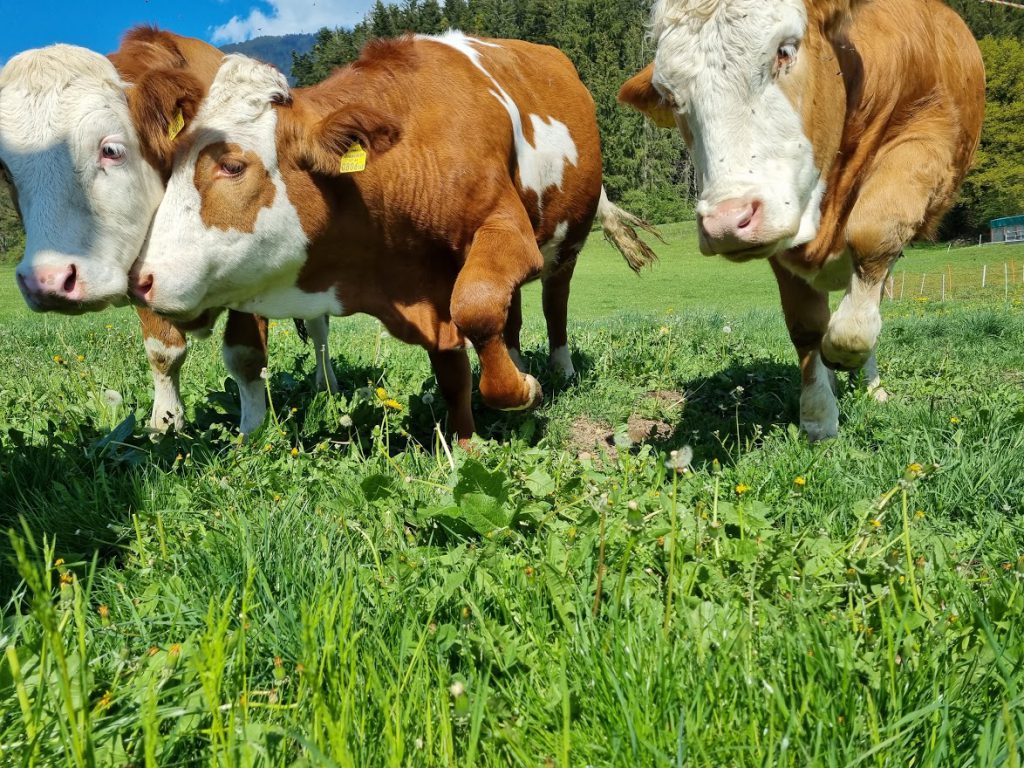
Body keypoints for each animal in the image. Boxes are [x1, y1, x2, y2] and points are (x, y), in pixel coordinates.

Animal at [0, 28, 337, 438]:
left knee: (319, 330)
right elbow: (164, 353)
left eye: (111, 149)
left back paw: (328, 386)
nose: (47, 281)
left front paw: (253, 430)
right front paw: (165, 424)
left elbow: (246, 357)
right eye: (6, 170)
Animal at [130, 33, 655, 442]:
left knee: (553, 301)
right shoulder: (427, 282)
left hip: (567, 242)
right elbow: (454, 367)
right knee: (514, 311)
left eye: (233, 166)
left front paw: (522, 391)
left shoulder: (506, 233)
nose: (141, 280)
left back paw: (560, 368)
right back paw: (516, 357)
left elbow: (476, 307)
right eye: (169, 166)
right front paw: (466, 442)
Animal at [614, 0, 983, 442]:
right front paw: (818, 415)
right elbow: (805, 326)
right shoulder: (782, 228)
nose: (726, 222)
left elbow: (872, 234)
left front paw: (845, 349)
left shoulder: (929, 135)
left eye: (785, 50)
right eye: (670, 96)